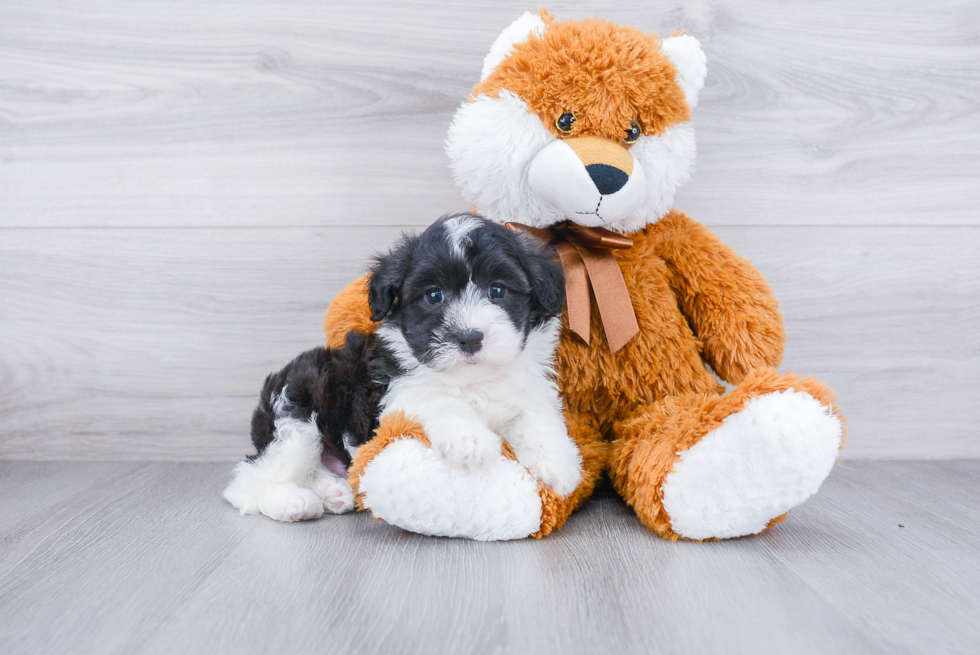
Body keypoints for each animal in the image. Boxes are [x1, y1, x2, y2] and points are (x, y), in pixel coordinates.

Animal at [224, 214, 580, 524]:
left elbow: (536, 416)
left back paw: (334, 492)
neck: (471, 379)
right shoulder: (396, 392)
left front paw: (559, 463)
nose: (469, 337)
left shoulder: (526, 389)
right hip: (295, 411)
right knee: (249, 480)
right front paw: (470, 442)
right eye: (434, 295)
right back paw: (292, 503)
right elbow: (443, 401)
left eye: (498, 290)